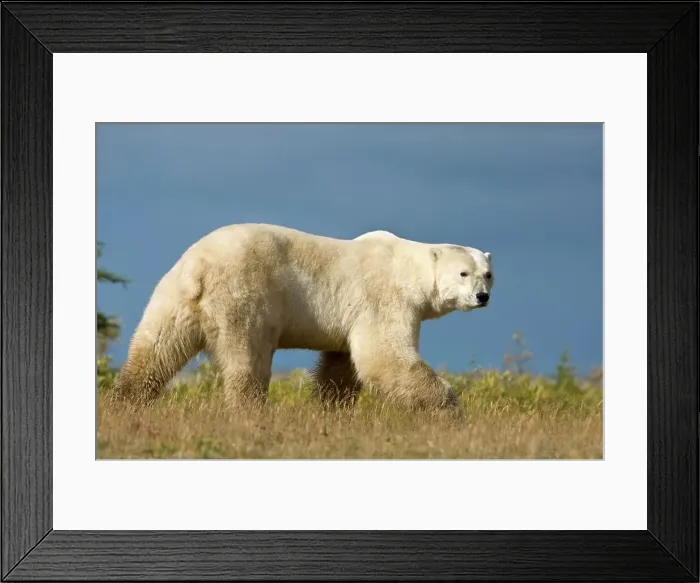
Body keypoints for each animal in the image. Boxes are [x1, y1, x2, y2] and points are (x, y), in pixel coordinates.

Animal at [112, 223, 494, 411]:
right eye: (463, 273)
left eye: (487, 274)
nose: (483, 297)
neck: (407, 267)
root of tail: (198, 267)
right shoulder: (383, 298)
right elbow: (383, 356)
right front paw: (449, 408)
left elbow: (341, 365)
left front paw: (330, 410)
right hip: (245, 295)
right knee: (248, 360)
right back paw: (252, 412)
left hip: (173, 298)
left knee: (155, 349)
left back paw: (125, 401)